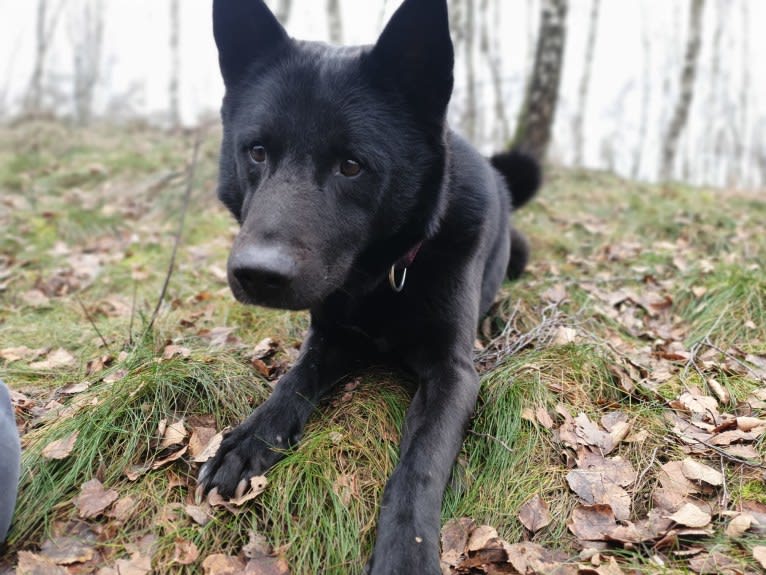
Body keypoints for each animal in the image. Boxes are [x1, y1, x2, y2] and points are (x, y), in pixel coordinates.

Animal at [201, 1, 544, 572]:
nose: (257, 274)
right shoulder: (330, 337)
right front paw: (249, 438)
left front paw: (408, 551)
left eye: (352, 165)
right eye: (256, 152)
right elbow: (292, 382)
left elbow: (420, 464)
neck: (382, 280)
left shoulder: (454, 373)